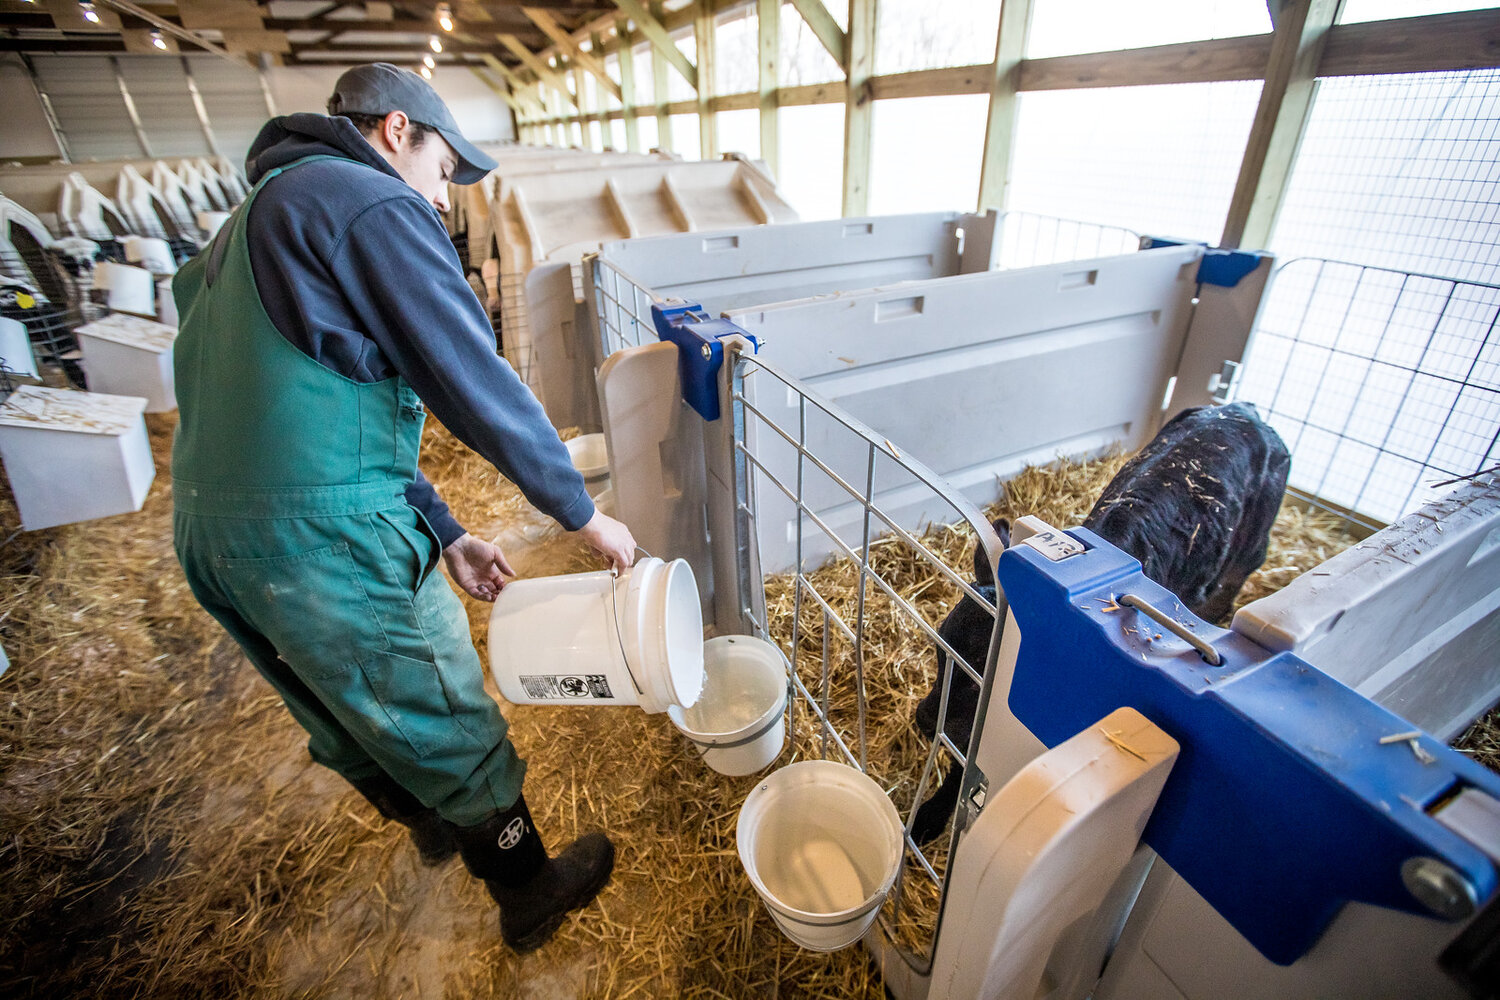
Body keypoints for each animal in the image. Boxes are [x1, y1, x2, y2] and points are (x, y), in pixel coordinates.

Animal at [906, 401, 1296, 851]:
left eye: (977, 677)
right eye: (939, 652)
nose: (922, 718)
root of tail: (1244, 408)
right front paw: (928, 817)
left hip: (1248, 556)